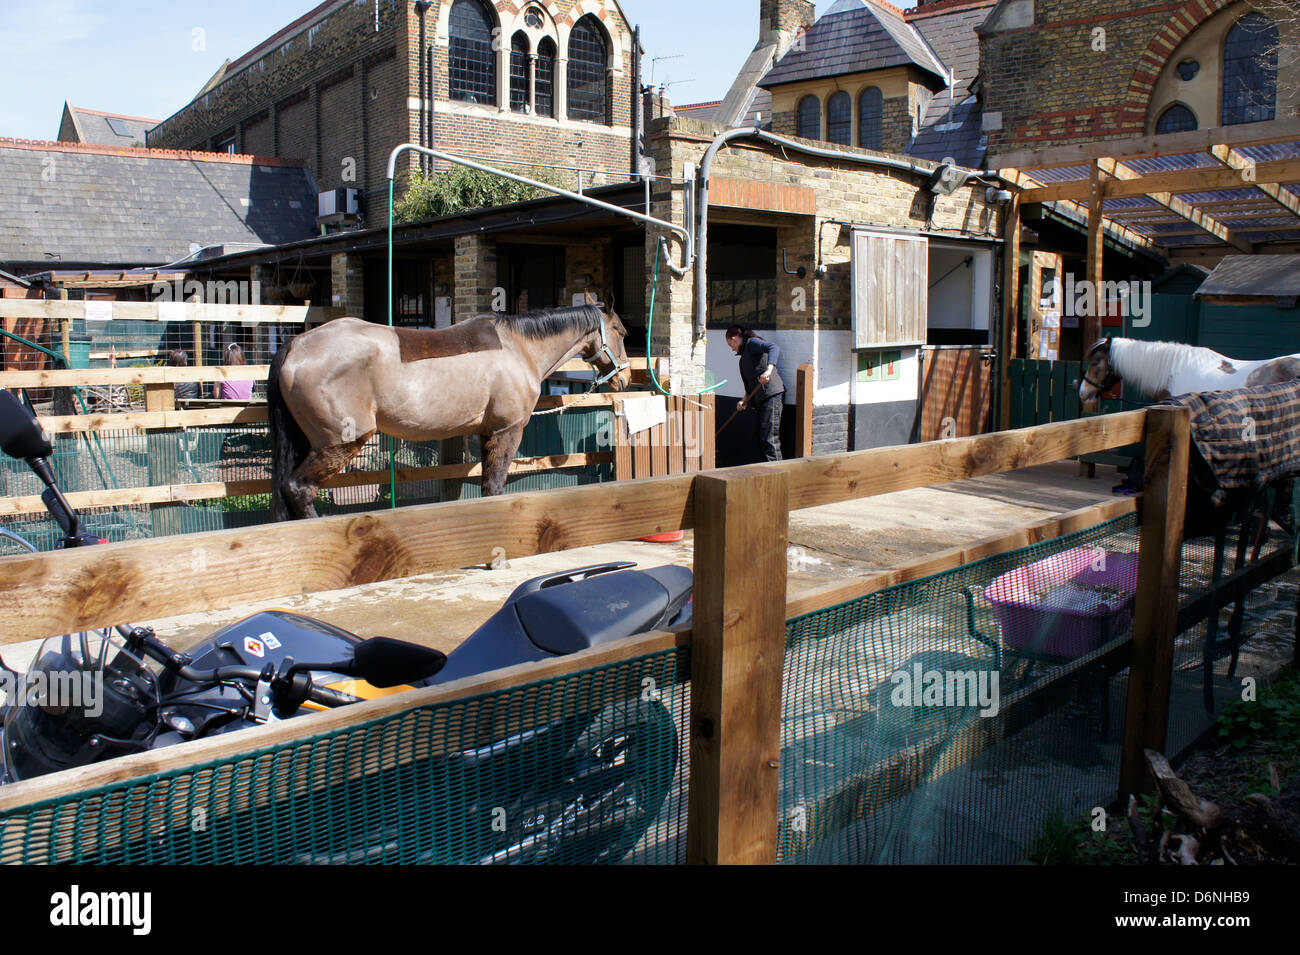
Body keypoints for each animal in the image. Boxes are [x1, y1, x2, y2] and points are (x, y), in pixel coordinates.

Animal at [266, 306, 631, 519]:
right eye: (622, 332)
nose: (625, 378)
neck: (517, 347)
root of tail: (296, 345)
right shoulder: (506, 430)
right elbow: (494, 487)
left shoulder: (486, 432)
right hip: (341, 443)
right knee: (299, 489)